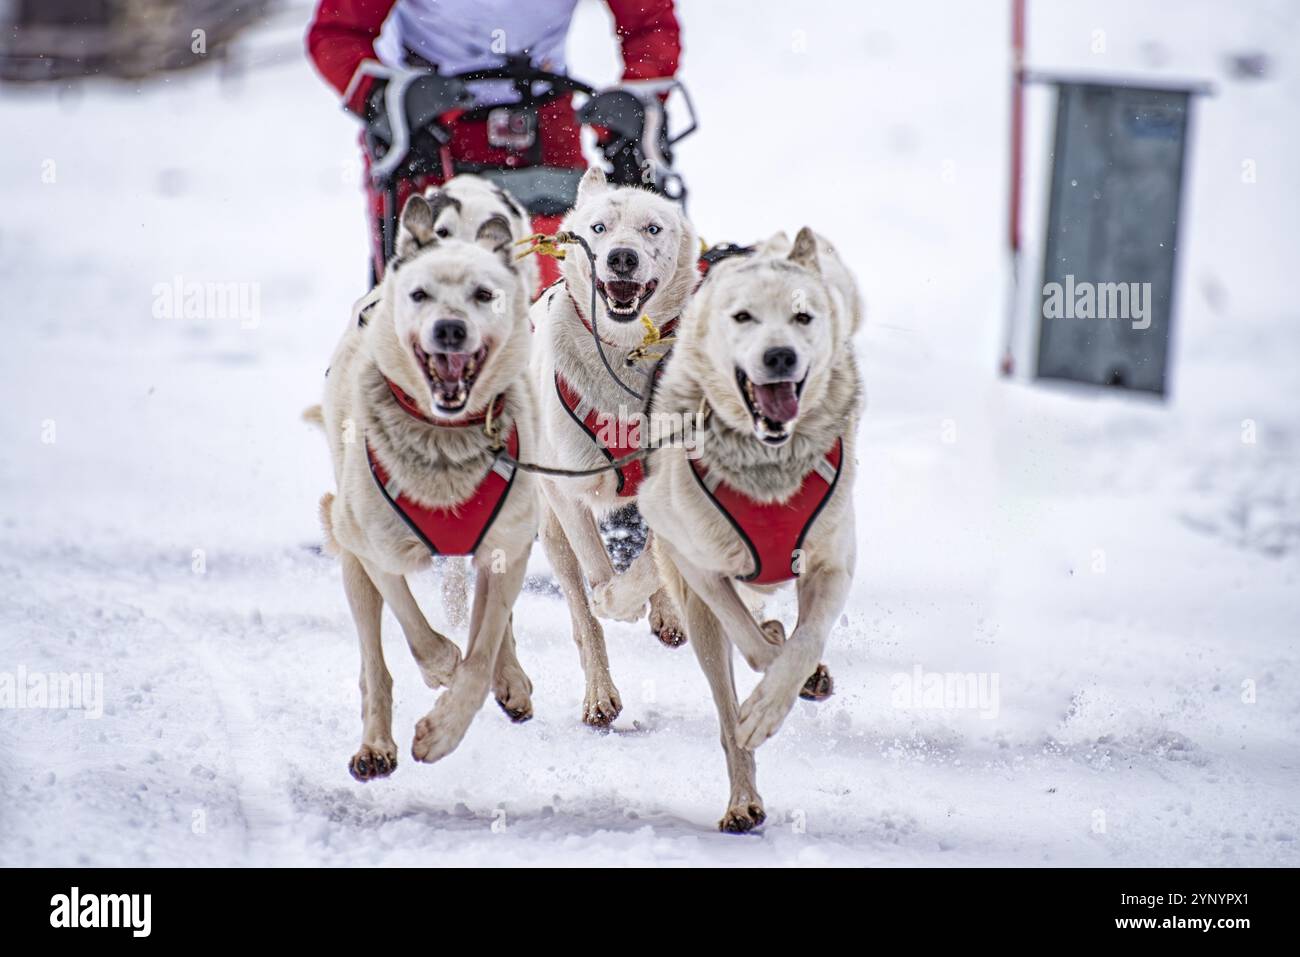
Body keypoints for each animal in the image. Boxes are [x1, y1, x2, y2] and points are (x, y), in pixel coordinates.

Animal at [319, 191, 538, 780]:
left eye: (484, 294)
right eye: (420, 294)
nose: (450, 330)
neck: (444, 437)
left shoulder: (510, 544)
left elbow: (482, 654)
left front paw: (444, 730)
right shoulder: (375, 550)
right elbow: (418, 632)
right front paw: (441, 666)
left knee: (495, 625)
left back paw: (511, 679)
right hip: (350, 561)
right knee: (374, 663)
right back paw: (375, 745)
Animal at [525, 166, 696, 722]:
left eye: (652, 228)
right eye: (599, 228)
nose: (622, 256)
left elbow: (650, 560)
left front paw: (647, 601)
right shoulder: (567, 493)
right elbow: (598, 570)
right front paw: (611, 599)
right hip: (550, 529)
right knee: (582, 617)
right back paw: (600, 692)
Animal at [639, 230, 863, 832]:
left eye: (803, 316)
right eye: (743, 317)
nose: (779, 355)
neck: (767, 469)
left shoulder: (833, 563)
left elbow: (806, 641)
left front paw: (783, 689)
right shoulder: (697, 563)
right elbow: (751, 642)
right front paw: (769, 693)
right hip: (696, 615)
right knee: (724, 706)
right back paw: (742, 800)